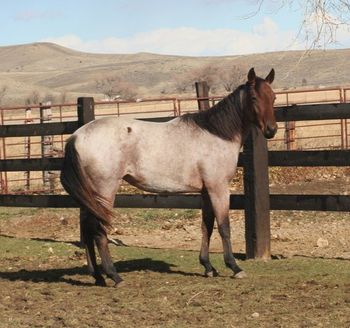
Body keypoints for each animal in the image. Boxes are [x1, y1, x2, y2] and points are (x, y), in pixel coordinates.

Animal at [61, 68, 278, 286]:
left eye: (273, 97)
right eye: (254, 97)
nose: (271, 130)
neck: (216, 134)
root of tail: (77, 136)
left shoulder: (206, 191)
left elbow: (206, 226)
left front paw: (208, 267)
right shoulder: (218, 188)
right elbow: (224, 226)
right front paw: (234, 267)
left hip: (90, 196)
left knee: (87, 229)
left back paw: (98, 276)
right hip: (104, 192)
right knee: (98, 231)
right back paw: (114, 276)